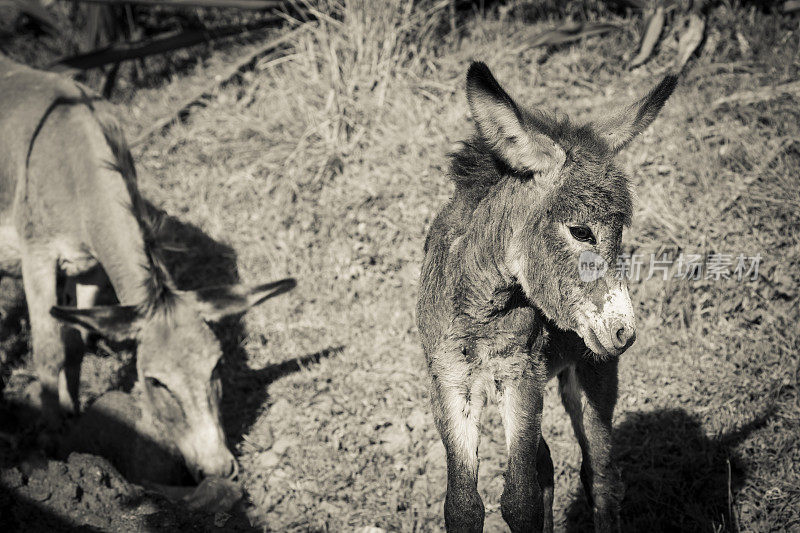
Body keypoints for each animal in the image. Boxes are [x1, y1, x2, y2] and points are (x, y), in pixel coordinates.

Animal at [418, 63, 676, 532]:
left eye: (621, 233)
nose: (626, 332)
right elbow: (463, 505)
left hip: (592, 370)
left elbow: (521, 501)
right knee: (549, 467)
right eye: (581, 231)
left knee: (600, 473)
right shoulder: (450, 382)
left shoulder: (522, 376)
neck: (482, 309)